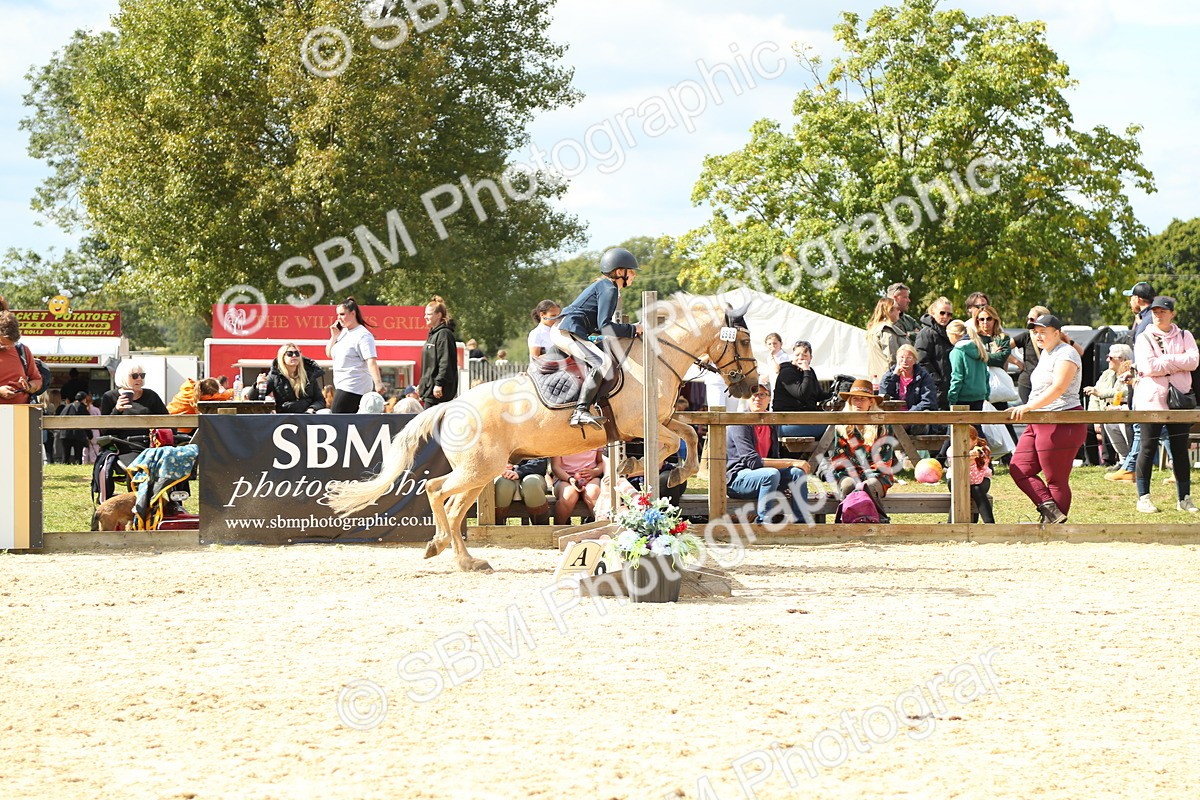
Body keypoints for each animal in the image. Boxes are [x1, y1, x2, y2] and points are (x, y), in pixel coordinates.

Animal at [326, 294, 759, 571]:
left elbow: (689, 436)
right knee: (437, 491)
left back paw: (462, 557)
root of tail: (452, 404)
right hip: (481, 469)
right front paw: (637, 466)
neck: (657, 358)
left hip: (479, 472)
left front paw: (676, 472)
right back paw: (443, 547)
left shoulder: (662, 420)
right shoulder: (641, 426)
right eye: (743, 339)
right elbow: (668, 444)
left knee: (454, 506)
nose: (751, 386)